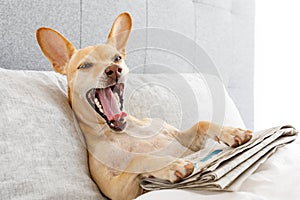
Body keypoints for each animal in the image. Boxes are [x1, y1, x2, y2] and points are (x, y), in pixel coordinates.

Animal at [35, 12, 253, 200]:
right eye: (85, 66)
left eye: (117, 58)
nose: (114, 69)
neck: (123, 131)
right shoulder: (120, 191)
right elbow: (138, 159)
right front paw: (171, 165)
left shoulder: (188, 143)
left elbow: (202, 123)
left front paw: (232, 132)